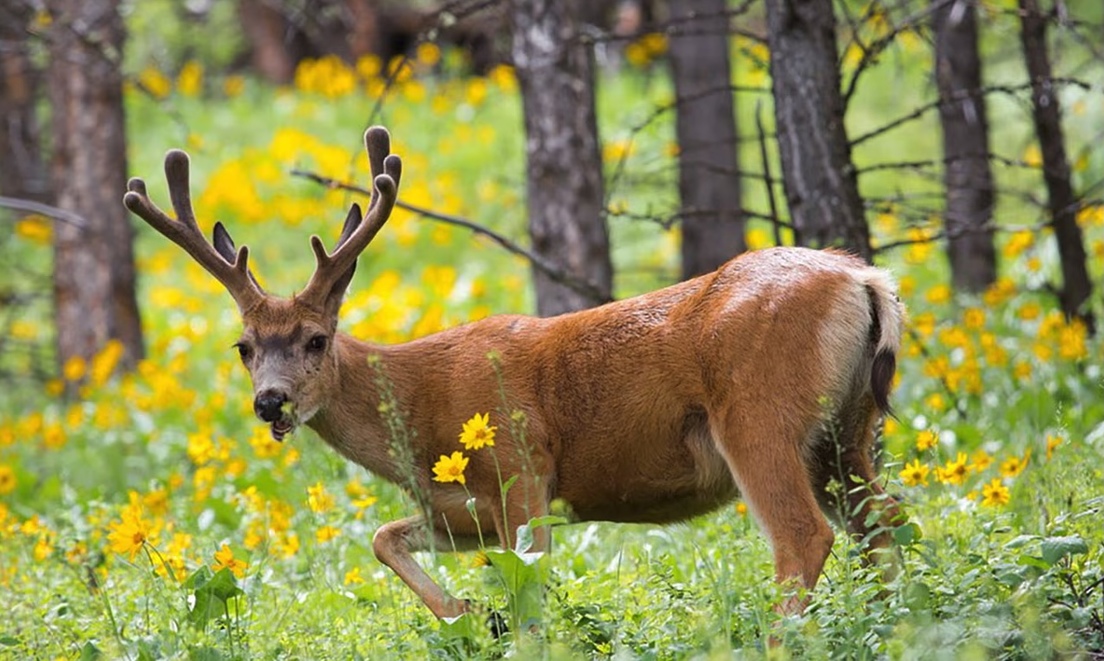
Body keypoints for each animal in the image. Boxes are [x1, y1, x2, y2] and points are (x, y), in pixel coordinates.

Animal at [125, 126, 905, 622]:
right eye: (243, 346)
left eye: (316, 339)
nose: (271, 402)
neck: (418, 413)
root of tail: (866, 279)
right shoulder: (461, 508)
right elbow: (382, 537)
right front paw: (468, 612)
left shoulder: (523, 471)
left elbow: (531, 597)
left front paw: (499, 620)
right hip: (846, 429)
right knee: (884, 525)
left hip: (758, 413)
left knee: (804, 537)